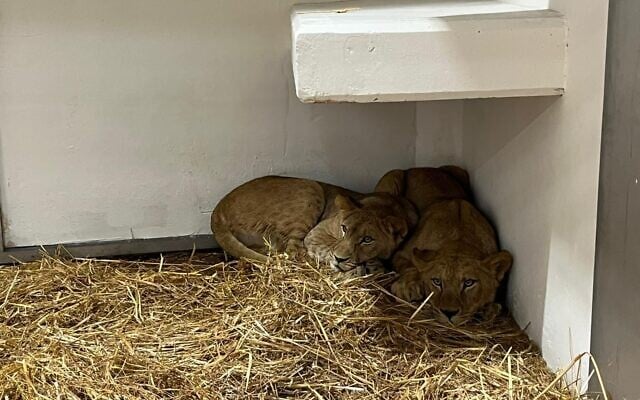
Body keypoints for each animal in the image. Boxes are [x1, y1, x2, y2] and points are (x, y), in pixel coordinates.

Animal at [211, 176, 418, 275]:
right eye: (344, 229)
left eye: (368, 239)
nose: (340, 259)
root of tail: (218, 208)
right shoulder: (317, 232)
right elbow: (326, 249)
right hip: (311, 186)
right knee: (294, 254)